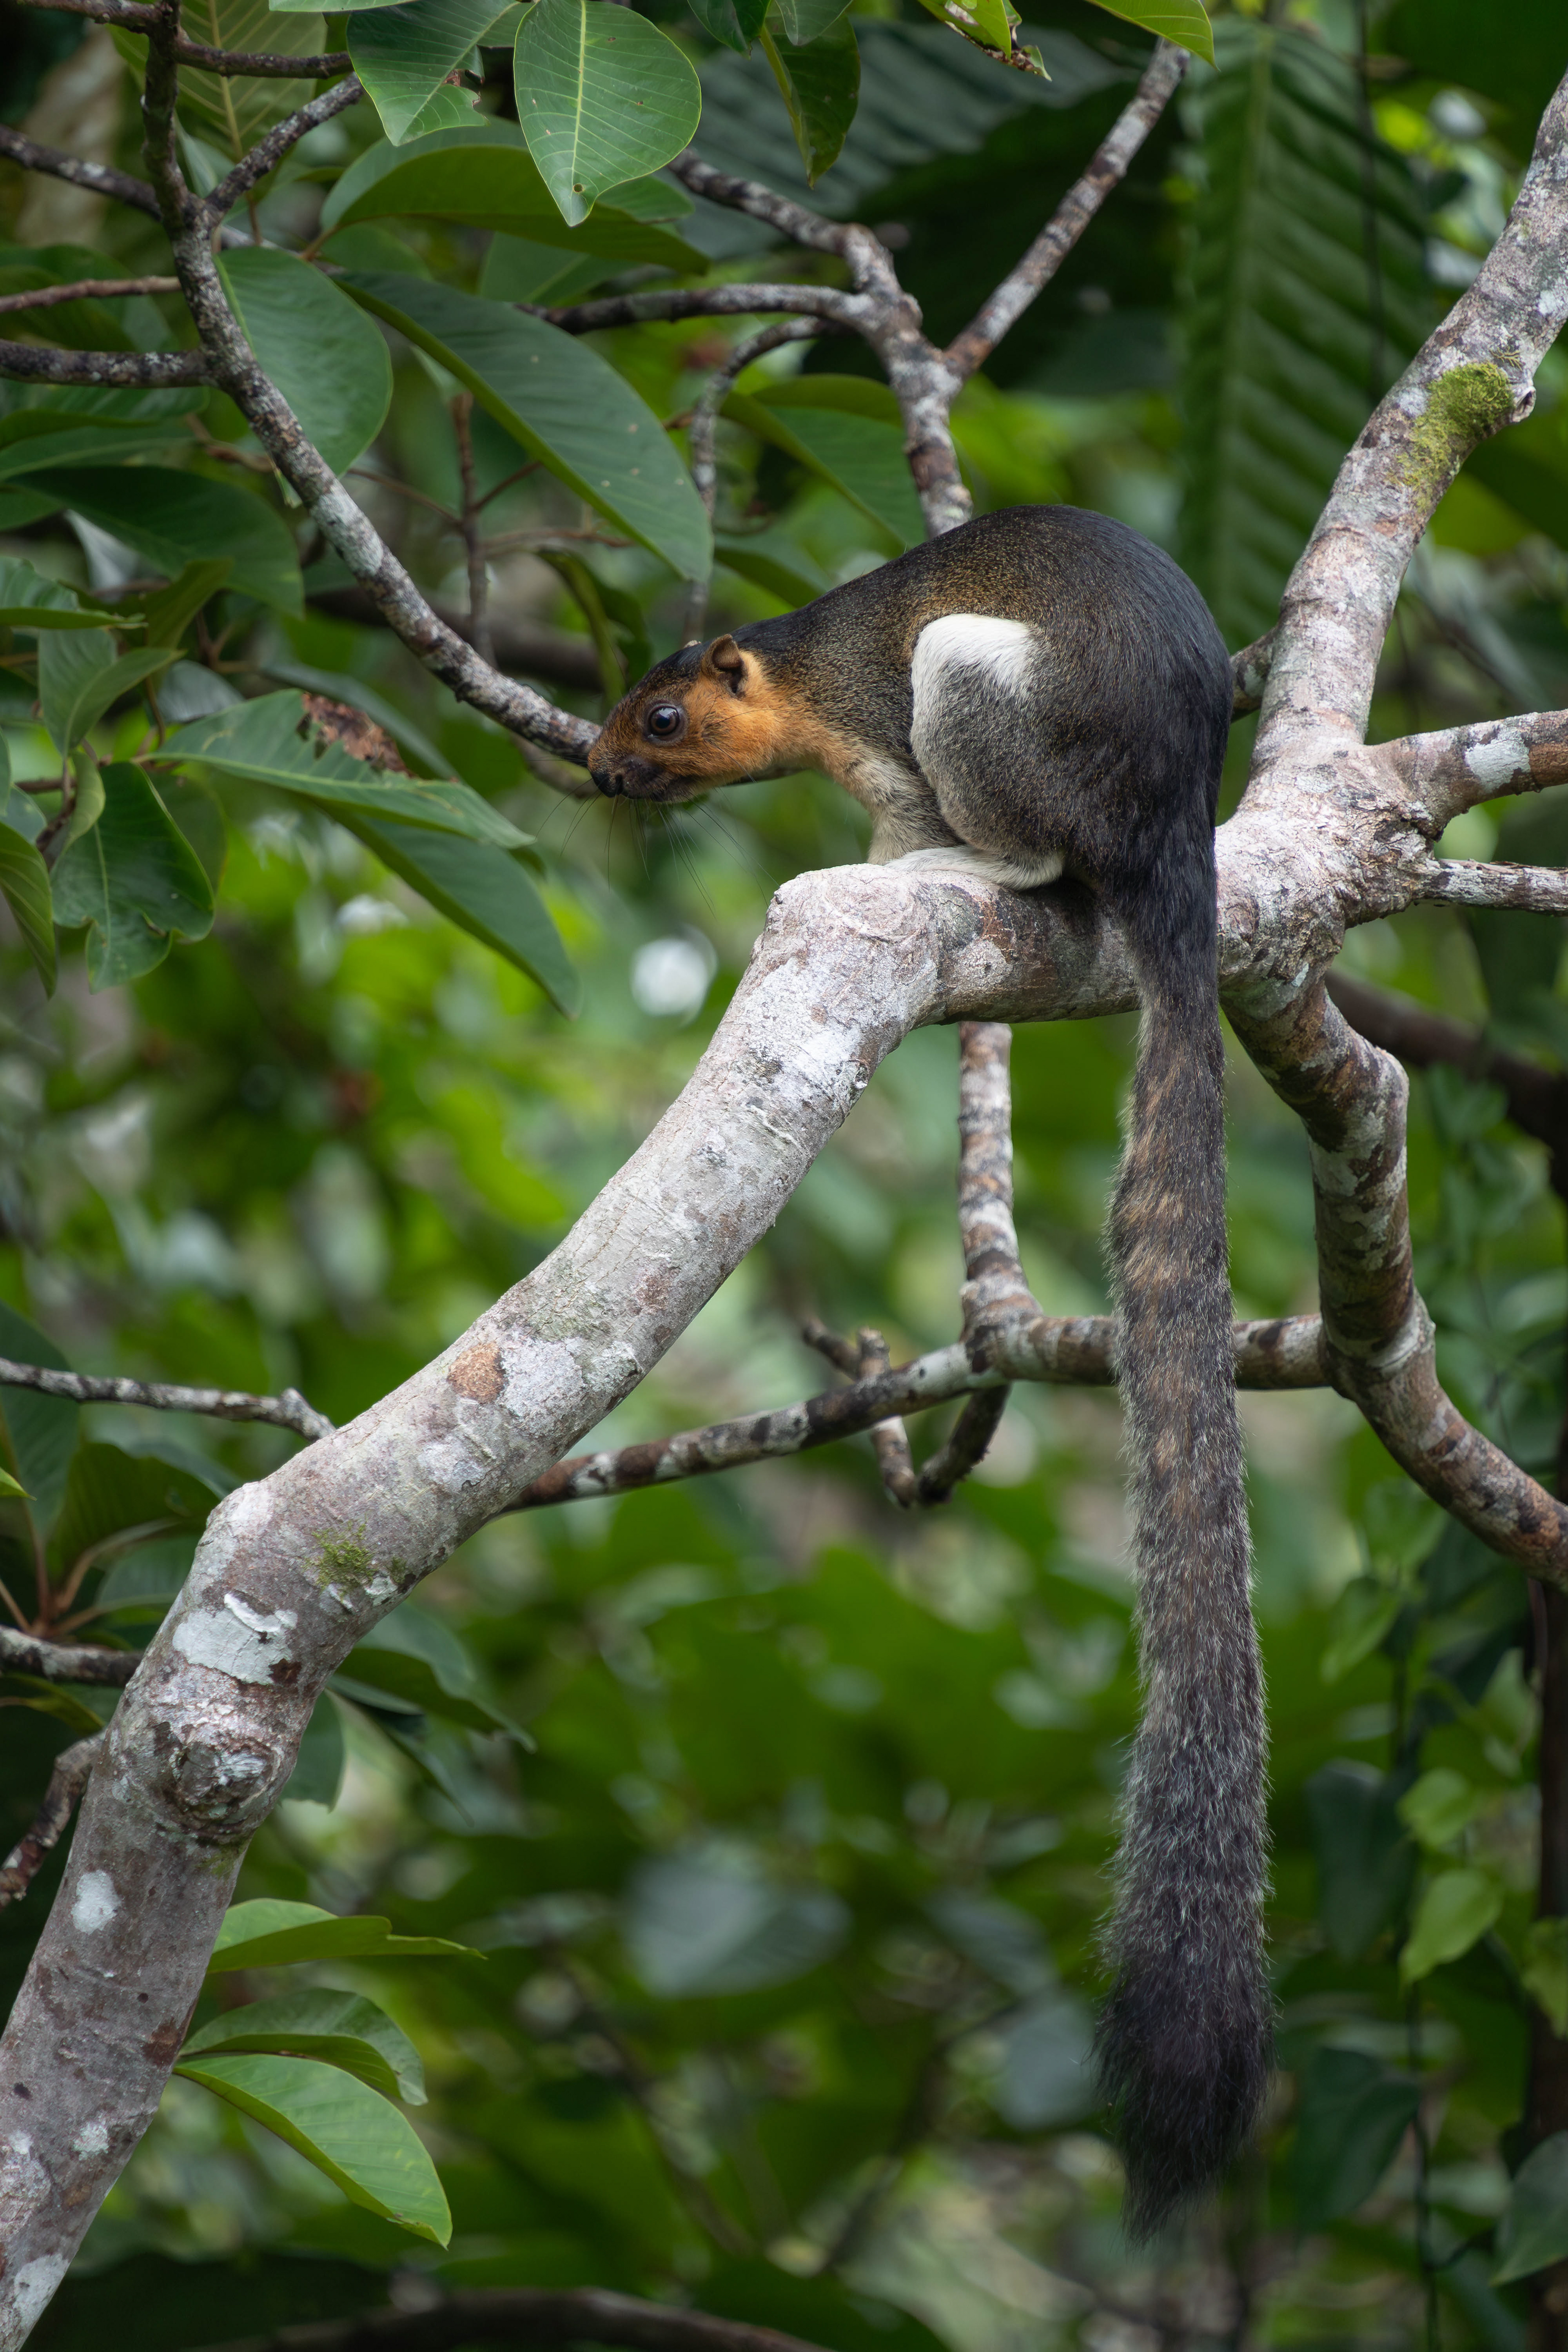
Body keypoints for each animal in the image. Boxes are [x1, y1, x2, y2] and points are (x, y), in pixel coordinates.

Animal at [591, 502, 1269, 2236]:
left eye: (665, 719)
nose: (599, 772)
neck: (805, 671)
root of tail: (1178, 838)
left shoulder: (883, 739)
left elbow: (895, 810)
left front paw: (881, 863)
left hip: (980, 691)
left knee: (1030, 851)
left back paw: (973, 865)